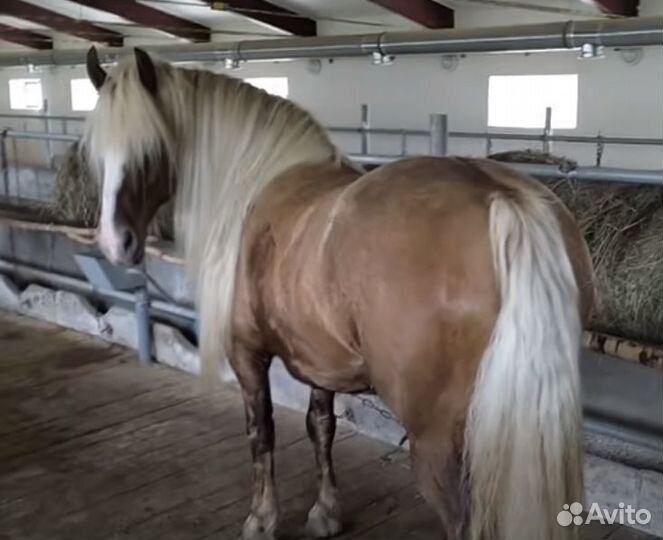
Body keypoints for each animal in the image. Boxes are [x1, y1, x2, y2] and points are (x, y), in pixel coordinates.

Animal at [84, 47, 596, 540]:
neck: (254, 188)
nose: (114, 243)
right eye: (96, 155)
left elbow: (261, 430)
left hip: (442, 444)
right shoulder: (319, 361)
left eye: (151, 147)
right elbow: (320, 427)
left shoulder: (246, 352)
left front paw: (262, 519)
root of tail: (500, 197)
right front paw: (326, 513)